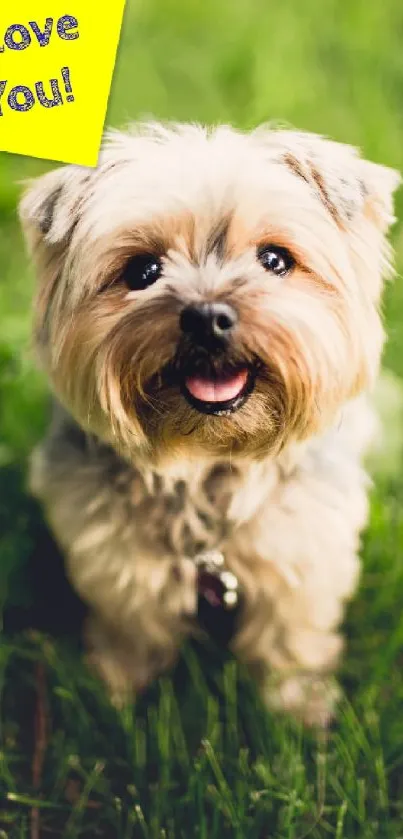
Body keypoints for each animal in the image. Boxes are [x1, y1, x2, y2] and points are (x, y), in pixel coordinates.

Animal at [18, 121, 400, 724]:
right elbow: (133, 629)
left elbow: (290, 634)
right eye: (144, 271)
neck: (207, 461)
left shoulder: (302, 545)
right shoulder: (116, 556)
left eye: (275, 260)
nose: (207, 316)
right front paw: (115, 698)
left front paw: (298, 713)